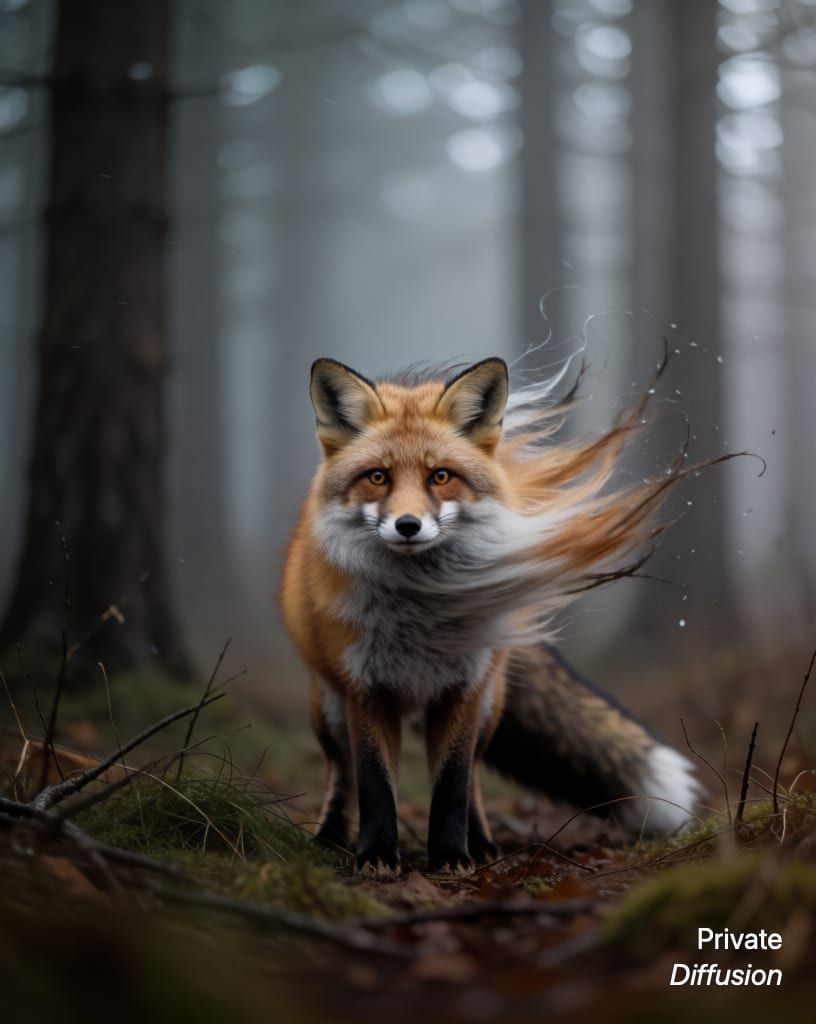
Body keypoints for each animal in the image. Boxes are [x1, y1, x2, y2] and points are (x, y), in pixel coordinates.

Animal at [281, 355, 702, 877]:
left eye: (440, 477)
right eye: (378, 477)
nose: (407, 525)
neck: (418, 614)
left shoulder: (463, 690)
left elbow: (453, 785)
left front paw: (450, 857)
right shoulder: (366, 691)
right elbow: (376, 785)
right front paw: (376, 855)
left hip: (488, 707)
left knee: (475, 778)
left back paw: (480, 844)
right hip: (329, 709)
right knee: (339, 772)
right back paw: (331, 838)